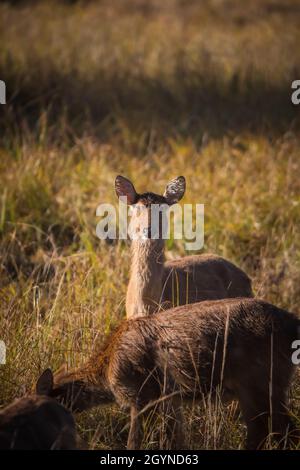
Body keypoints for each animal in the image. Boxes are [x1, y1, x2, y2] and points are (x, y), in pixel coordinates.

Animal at [40, 300, 300, 450]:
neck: (108, 370)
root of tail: (292, 324)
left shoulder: (141, 394)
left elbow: (135, 441)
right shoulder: (169, 399)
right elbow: (174, 438)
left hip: (260, 382)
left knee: (275, 430)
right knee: (273, 430)